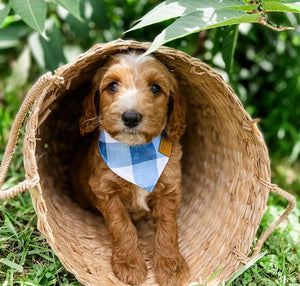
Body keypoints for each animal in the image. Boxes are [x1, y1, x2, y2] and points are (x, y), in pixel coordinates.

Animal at [72, 52, 189, 286]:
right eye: (112, 85)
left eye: (155, 88)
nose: (131, 117)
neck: (136, 157)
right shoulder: (104, 189)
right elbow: (121, 225)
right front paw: (129, 265)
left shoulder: (170, 188)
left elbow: (167, 227)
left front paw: (171, 268)